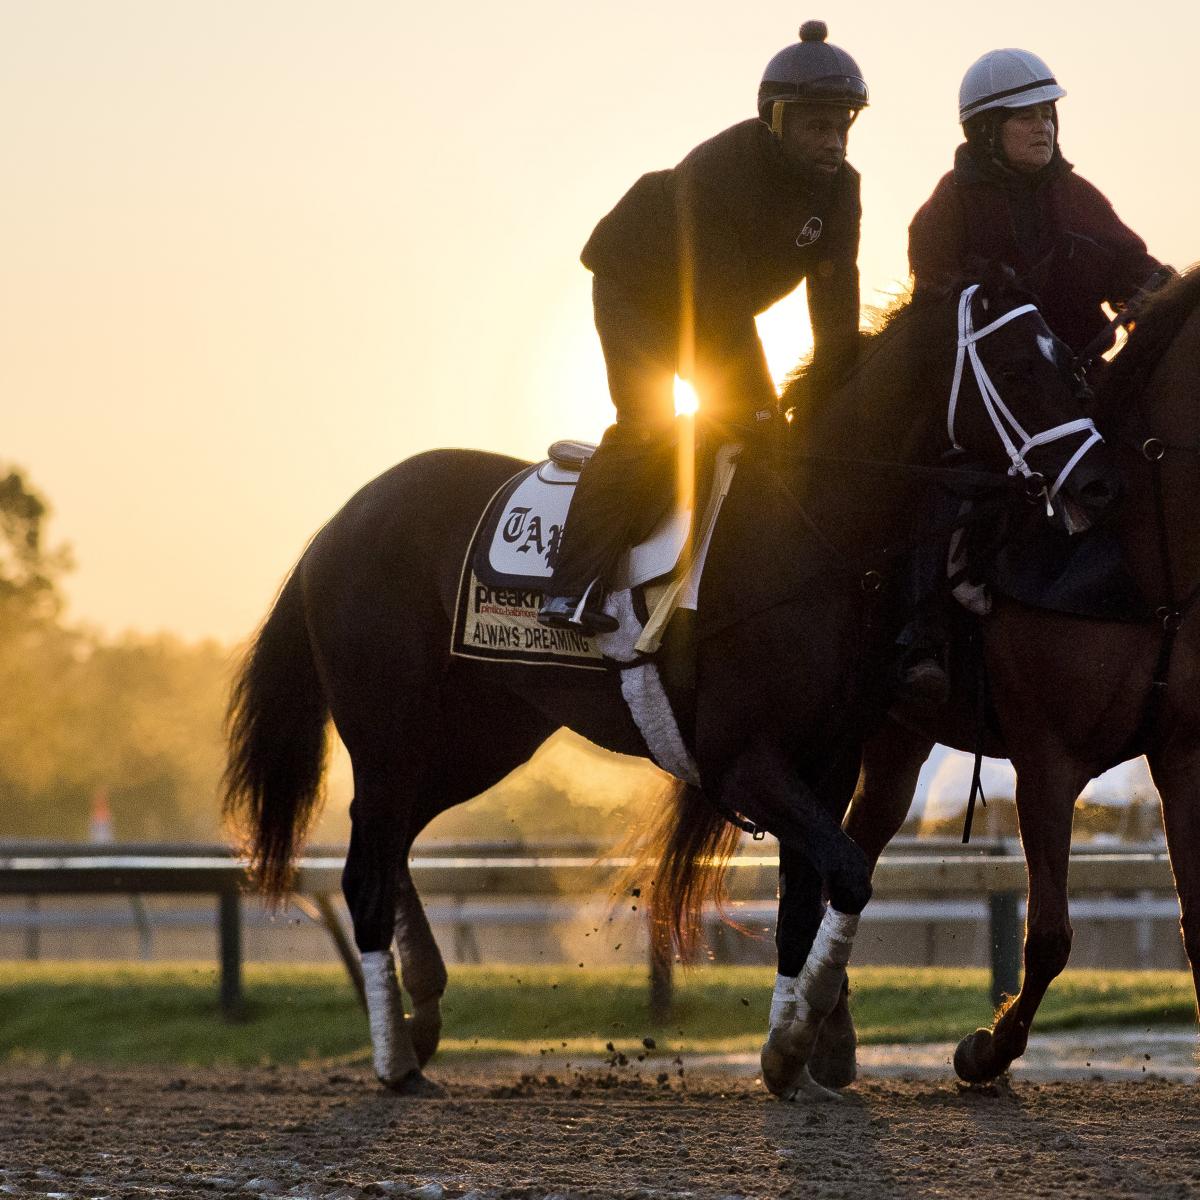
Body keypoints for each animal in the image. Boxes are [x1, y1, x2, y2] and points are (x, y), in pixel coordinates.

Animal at [223, 274, 1113, 1099]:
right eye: (1017, 368)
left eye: (1070, 364)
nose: (1097, 481)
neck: (811, 528)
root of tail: (338, 523)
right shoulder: (742, 760)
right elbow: (849, 873)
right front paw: (800, 1040)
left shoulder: (824, 761)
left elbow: (805, 899)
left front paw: (789, 1048)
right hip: (388, 732)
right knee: (363, 869)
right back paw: (395, 1056)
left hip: (477, 738)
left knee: (392, 841)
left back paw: (426, 1006)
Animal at [777, 267, 1200, 1094]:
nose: (1096, 490)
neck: (1137, 557)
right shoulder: (1048, 761)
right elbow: (1051, 936)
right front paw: (986, 1049)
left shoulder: (1181, 757)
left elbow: (1193, 923)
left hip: (897, 739)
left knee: (858, 839)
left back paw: (829, 1028)